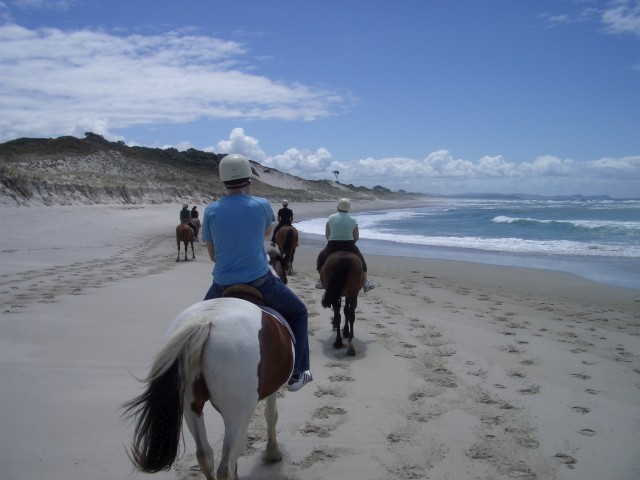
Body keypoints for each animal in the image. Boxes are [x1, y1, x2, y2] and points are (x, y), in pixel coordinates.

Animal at [122, 250, 292, 480]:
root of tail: (206, 321)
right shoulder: (273, 390)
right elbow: (271, 416)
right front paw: (271, 453)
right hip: (237, 412)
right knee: (225, 464)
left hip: (190, 406)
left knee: (205, 456)